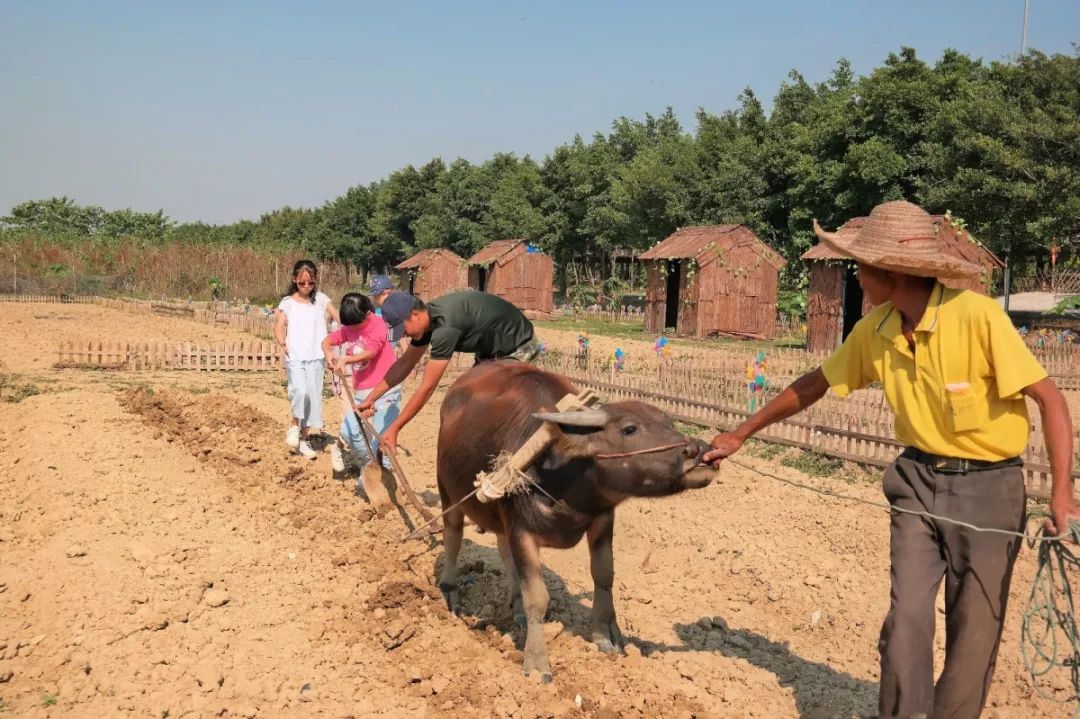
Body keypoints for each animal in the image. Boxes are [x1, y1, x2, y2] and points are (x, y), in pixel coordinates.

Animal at [434, 360, 712, 682]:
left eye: (669, 423)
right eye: (629, 428)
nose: (698, 451)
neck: (559, 475)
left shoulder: (602, 519)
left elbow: (603, 576)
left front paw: (605, 634)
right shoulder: (522, 531)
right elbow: (537, 596)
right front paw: (536, 663)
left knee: (504, 554)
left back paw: (515, 607)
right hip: (447, 492)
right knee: (452, 538)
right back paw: (450, 592)